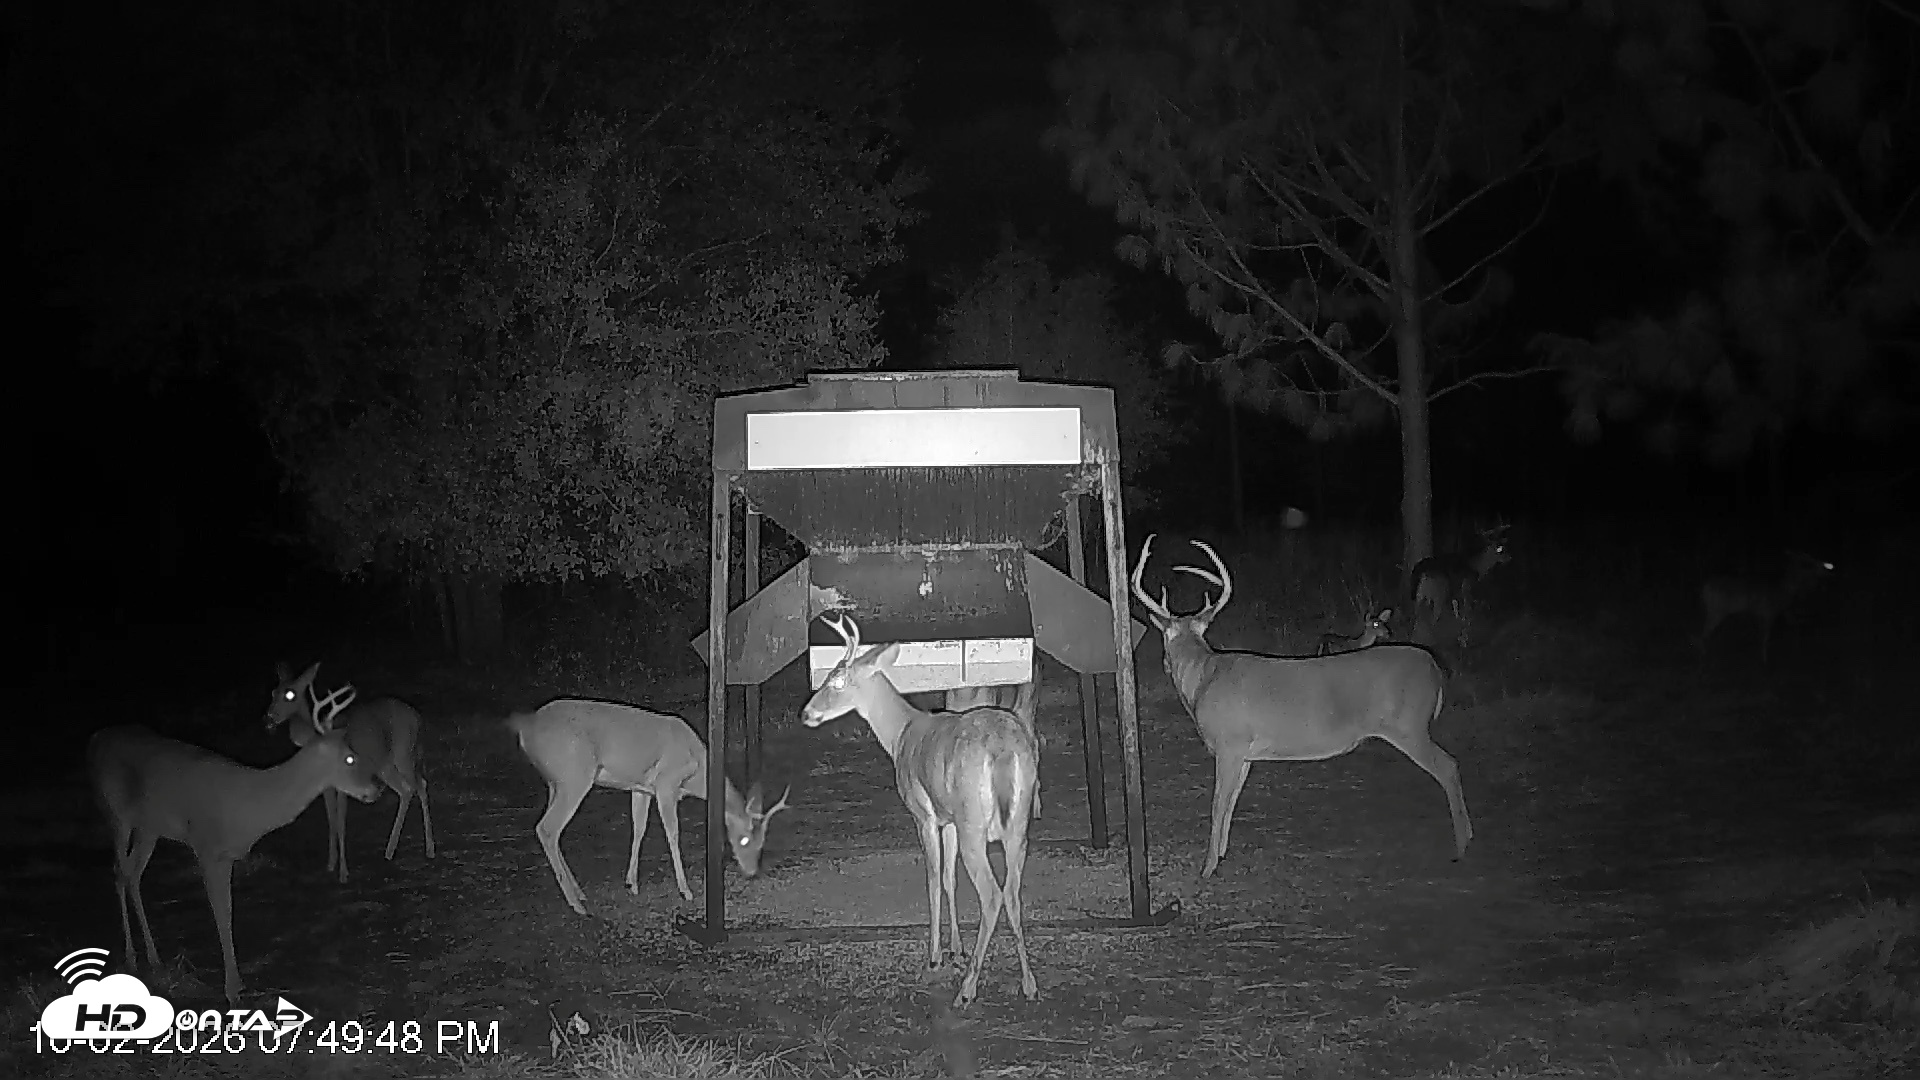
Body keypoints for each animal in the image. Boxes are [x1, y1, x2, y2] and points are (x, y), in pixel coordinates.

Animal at [90, 686, 382, 1003]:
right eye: (350, 758)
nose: (377, 788)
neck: (250, 803)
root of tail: (96, 740)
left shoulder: (227, 856)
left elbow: (229, 911)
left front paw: (238, 983)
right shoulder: (205, 847)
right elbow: (220, 912)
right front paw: (231, 988)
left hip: (149, 827)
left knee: (133, 875)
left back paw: (154, 959)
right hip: (116, 814)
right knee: (119, 872)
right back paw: (132, 958)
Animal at [266, 662, 435, 883]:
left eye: (290, 694)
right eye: (273, 692)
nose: (270, 718)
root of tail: (417, 716)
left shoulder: (344, 784)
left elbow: (341, 822)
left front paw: (343, 873)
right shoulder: (327, 786)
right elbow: (331, 819)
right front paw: (331, 864)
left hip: (403, 755)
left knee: (420, 786)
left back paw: (429, 849)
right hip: (385, 764)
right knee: (407, 790)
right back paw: (389, 851)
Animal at [506, 699, 790, 914]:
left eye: (762, 843)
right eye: (743, 840)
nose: (752, 872)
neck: (698, 772)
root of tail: (526, 730)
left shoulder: (641, 789)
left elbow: (639, 829)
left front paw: (631, 883)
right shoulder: (666, 783)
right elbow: (672, 834)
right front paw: (686, 890)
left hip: (554, 783)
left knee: (551, 830)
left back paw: (579, 893)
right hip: (574, 776)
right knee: (547, 828)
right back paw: (577, 904)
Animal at [1131, 536, 1471, 877]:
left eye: (1165, 638)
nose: (1165, 665)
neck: (1202, 680)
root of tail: (1435, 669)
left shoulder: (1230, 743)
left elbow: (1217, 805)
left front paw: (1207, 867)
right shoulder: (1244, 754)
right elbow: (1230, 804)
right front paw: (1222, 854)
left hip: (1409, 725)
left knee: (1449, 765)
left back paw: (1462, 846)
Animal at [1697, 552, 1835, 662]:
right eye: (1809, 564)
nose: (1827, 571)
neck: (1782, 593)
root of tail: (1705, 587)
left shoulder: (1760, 615)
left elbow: (1761, 636)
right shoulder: (1769, 613)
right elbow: (1765, 639)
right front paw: (1765, 661)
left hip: (1714, 610)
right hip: (1718, 610)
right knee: (1705, 631)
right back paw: (1705, 654)